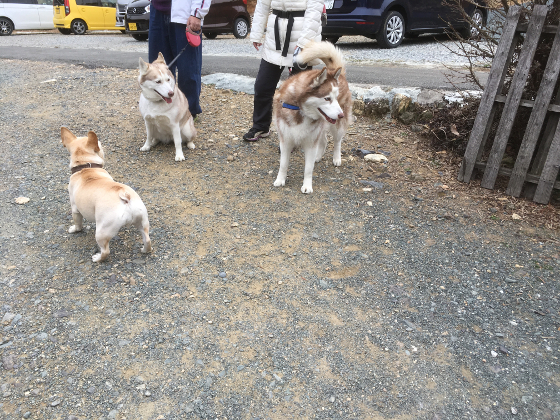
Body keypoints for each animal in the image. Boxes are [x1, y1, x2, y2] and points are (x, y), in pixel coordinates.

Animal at [61, 126, 151, 260]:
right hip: (143, 221)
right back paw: (145, 250)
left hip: (102, 231)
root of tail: (125, 196)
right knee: (147, 239)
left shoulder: (75, 209)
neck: (85, 167)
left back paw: (97, 258)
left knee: (105, 251)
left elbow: (78, 223)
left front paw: (74, 229)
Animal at [272, 39, 350, 194]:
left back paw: (336, 158)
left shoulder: (310, 143)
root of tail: (335, 71)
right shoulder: (286, 140)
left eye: (335, 98)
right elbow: (283, 164)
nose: (341, 115)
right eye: (327, 98)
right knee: (324, 141)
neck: (299, 109)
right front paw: (280, 180)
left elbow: (308, 169)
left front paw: (307, 186)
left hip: (336, 128)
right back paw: (318, 157)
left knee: (337, 141)